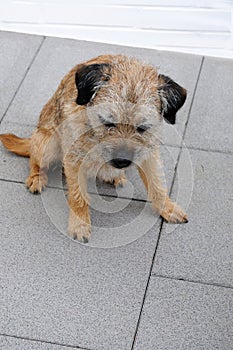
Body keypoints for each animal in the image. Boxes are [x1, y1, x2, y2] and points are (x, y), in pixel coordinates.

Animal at [0, 54, 187, 242]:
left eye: (142, 127)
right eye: (107, 122)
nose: (122, 161)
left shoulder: (149, 152)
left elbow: (157, 185)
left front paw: (168, 208)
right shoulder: (74, 158)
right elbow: (78, 196)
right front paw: (80, 225)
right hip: (48, 145)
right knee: (34, 157)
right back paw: (37, 176)